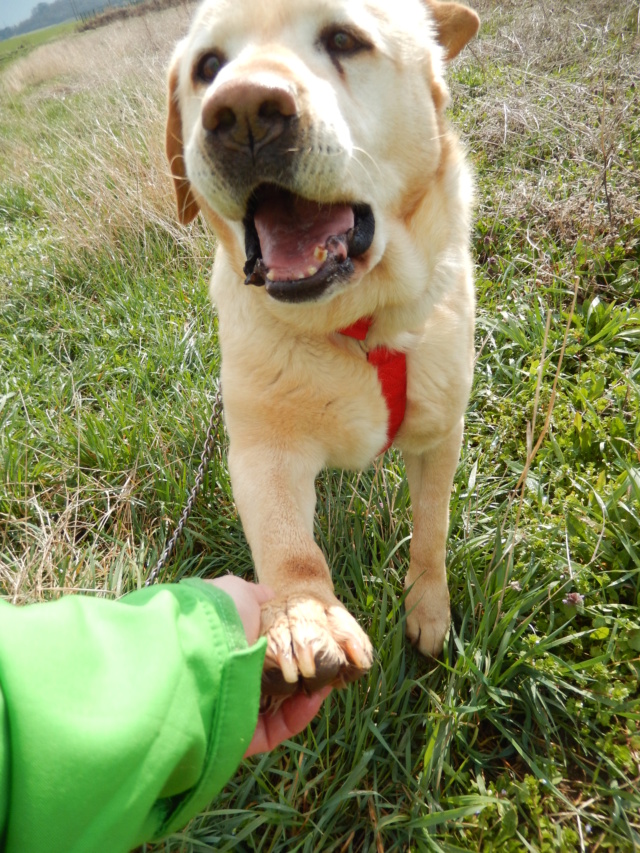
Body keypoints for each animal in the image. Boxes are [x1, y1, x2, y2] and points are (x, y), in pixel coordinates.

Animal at [168, 0, 478, 696]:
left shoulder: (440, 433)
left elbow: (433, 528)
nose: (243, 112)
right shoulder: (264, 452)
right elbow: (291, 548)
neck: (360, 324)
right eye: (208, 66)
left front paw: (428, 609)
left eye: (344, 38)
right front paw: (303, 618)